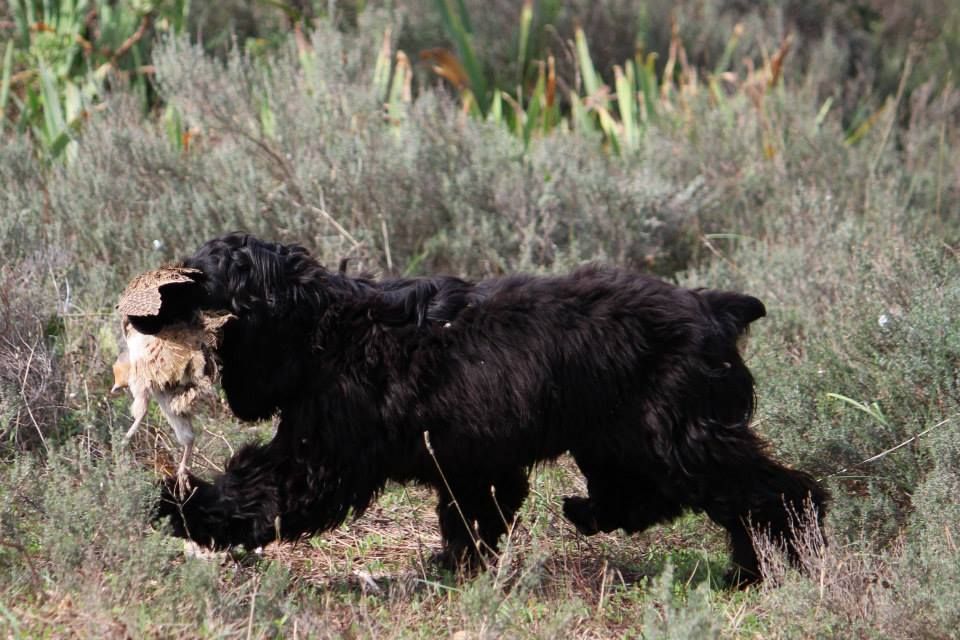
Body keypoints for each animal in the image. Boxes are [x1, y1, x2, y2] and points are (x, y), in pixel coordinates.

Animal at [141, 234, 824, 584]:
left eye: (195, 280)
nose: (144, 310)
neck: (320, 325)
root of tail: (717, 308)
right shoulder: (473, 462)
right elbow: (473, 517)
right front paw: (458, 567)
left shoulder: (319, 457)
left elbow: (259, 489)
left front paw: (181, 508)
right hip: (623, 437)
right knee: (649, 493)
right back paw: (595, 514)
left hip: (676, 434)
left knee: (772, 493)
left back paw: (776, 561)